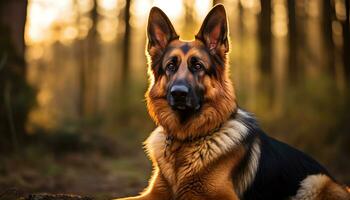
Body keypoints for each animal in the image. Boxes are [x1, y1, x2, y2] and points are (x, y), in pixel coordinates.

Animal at [115, 4, 350, 200]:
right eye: (170, 66)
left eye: (198, 66)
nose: (178, 93)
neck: (187, 140)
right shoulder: (154, 194)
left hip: (315, 181)